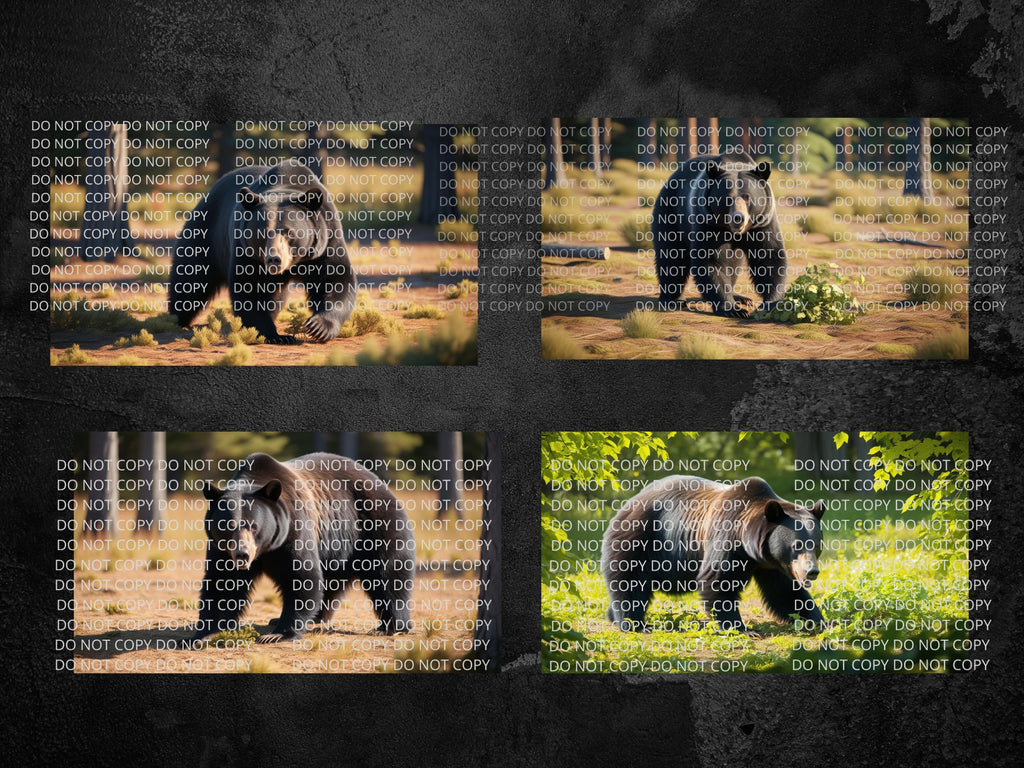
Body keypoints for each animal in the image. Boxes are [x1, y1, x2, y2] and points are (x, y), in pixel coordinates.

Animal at [168, 158, 358, 344]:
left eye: (289, 232)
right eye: (263, 232)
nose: (274, 259)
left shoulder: (325, 242)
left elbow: (336, 279)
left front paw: (318, 326)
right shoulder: (247, 252)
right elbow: (248, 288)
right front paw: (277, 335)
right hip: (205, 233)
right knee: (190, 279)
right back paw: (176, 319)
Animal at [188, 452, 414, 645]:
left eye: (254, 526)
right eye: (228, 526)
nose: (242, 555)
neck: (266, 548)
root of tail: (377, 479)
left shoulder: (295, 528)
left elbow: (302, 576)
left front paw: (277, 634)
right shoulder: (222, 550)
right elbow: (222, 584)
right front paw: (202, 635)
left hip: (372, 524)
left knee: (388, 575)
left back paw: (392, 626)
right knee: (330, 583)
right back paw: (314, 618)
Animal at [601, 475, 826, 635]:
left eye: (816, 545)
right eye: (797, 545)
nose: (812, 571)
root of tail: (627, 503)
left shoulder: (772, 564)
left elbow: (784, 592)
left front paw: (819, 620)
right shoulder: (727, 537)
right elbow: (718, 580)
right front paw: (742, 629)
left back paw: (614, 616)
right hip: (639, 538)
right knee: (630, 581)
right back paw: (633, 623)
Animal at [651, 151, 787, 318]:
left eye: (747, 196)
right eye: (728, 198)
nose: (738, 218)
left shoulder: (762, 223)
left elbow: (769, 258)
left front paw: (770, 303)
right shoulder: (709, 223)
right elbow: (711, 261)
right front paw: (734, 309)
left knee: (734, 262)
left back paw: (740, 297)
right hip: (671, 212)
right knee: (671, 256)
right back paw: (673, 299)